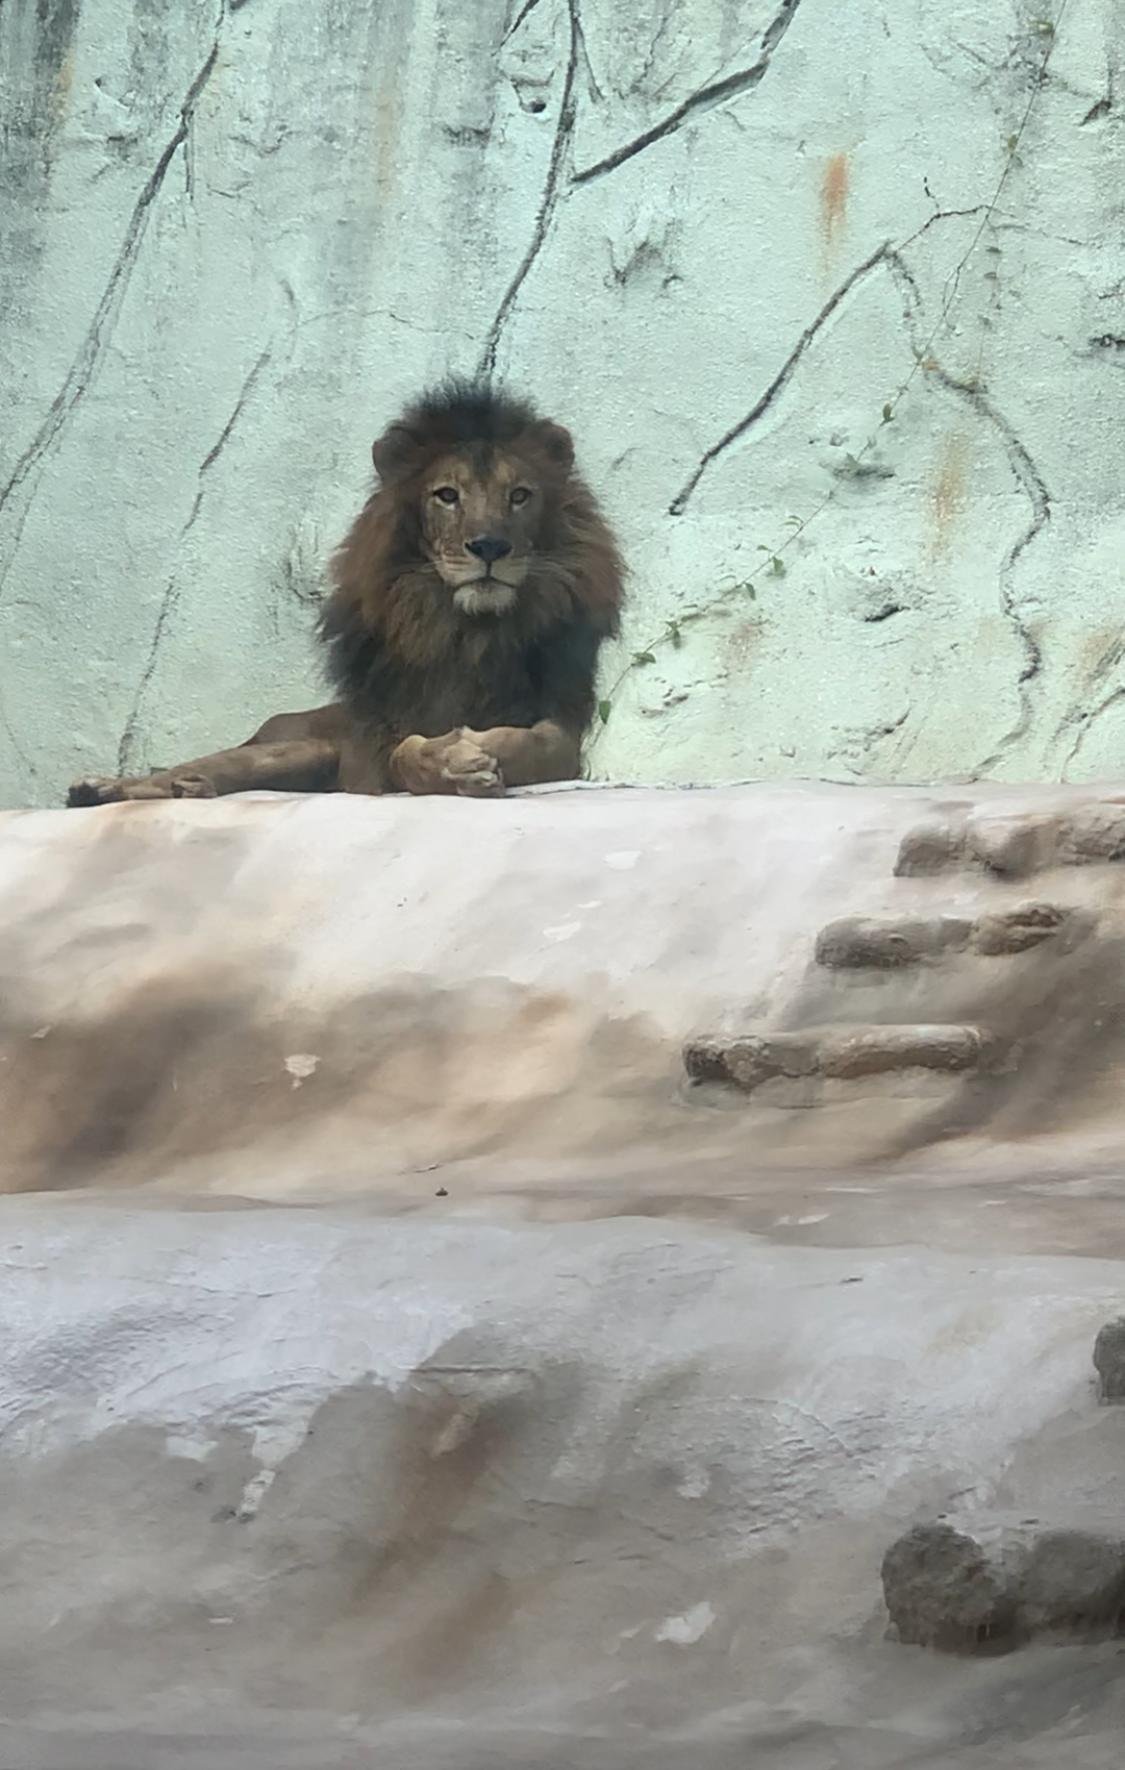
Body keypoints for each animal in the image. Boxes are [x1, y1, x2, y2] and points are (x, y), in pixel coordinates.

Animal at [65, 384, 622, 810]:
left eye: (520, 496)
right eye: (447, 495)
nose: (489, 546)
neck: (469, 633)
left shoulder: (563, 728)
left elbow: (538, 743)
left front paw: (476, 751)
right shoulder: (380, 748)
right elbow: (404, 752)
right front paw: (453, 761)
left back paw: (182, 790)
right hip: (296, 747)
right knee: (183, 769)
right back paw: (103, 788)